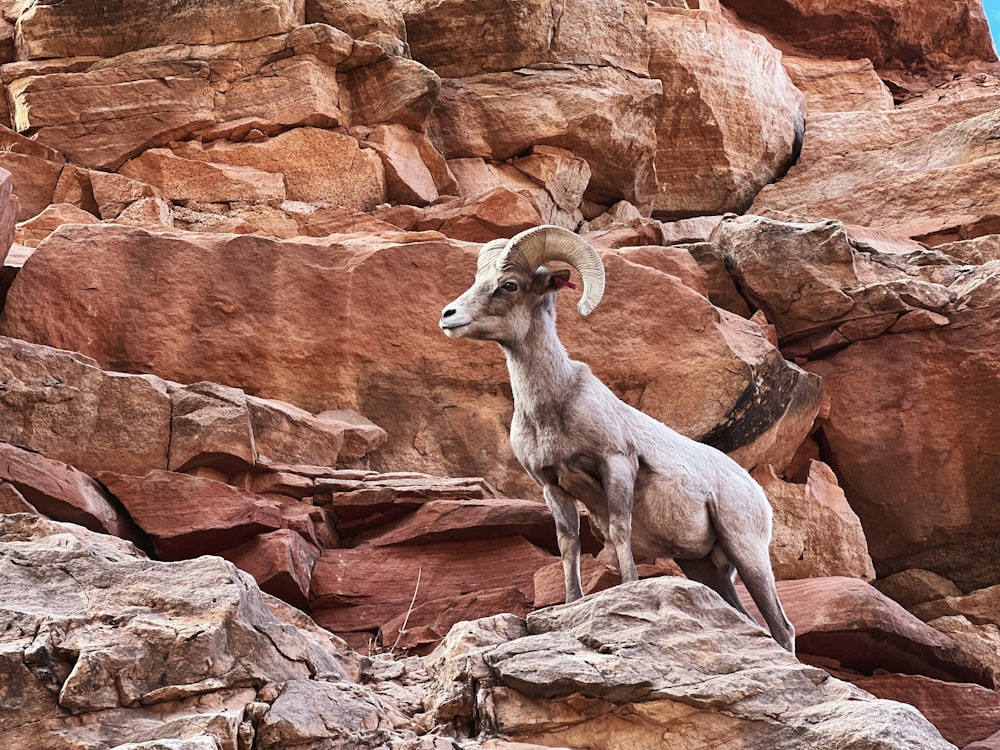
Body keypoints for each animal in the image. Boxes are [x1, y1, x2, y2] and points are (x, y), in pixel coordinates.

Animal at [440, 223, 796, 652]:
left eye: (509, 285)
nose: (448, 316)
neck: (553, 406)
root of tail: (756, 493)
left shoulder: (617, 464)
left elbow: (619, 529)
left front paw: (629, 588)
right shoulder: (552, 485)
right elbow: (569, 543)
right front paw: (571, 601)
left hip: (747, 551)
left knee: (782, 628)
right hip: (704, 567)